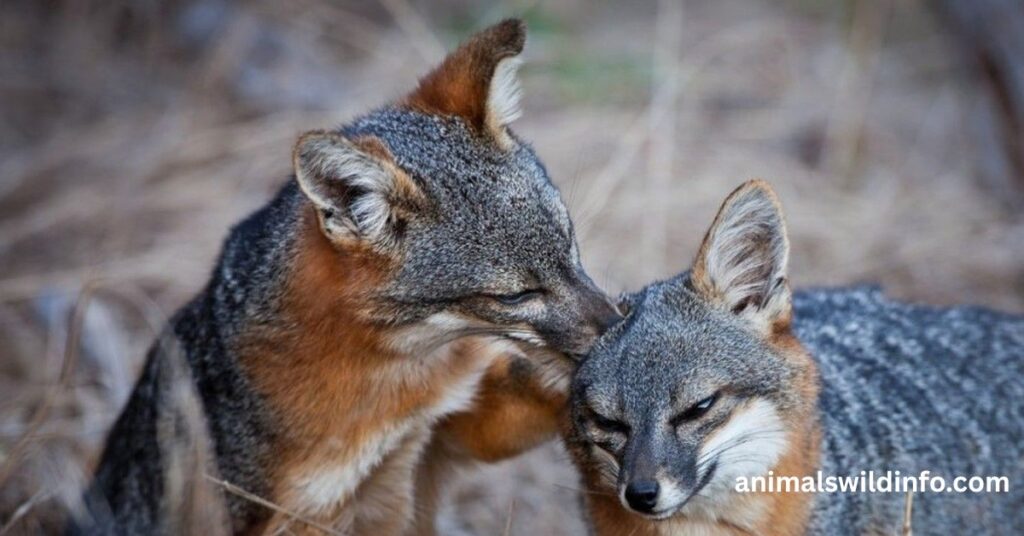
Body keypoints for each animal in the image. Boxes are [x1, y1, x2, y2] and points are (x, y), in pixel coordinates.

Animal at [70, 19, 621, 535]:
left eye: (571, 248)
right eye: (517, 295)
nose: (615, 325)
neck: (398, 387)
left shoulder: (448, 430)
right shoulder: (306, 512)